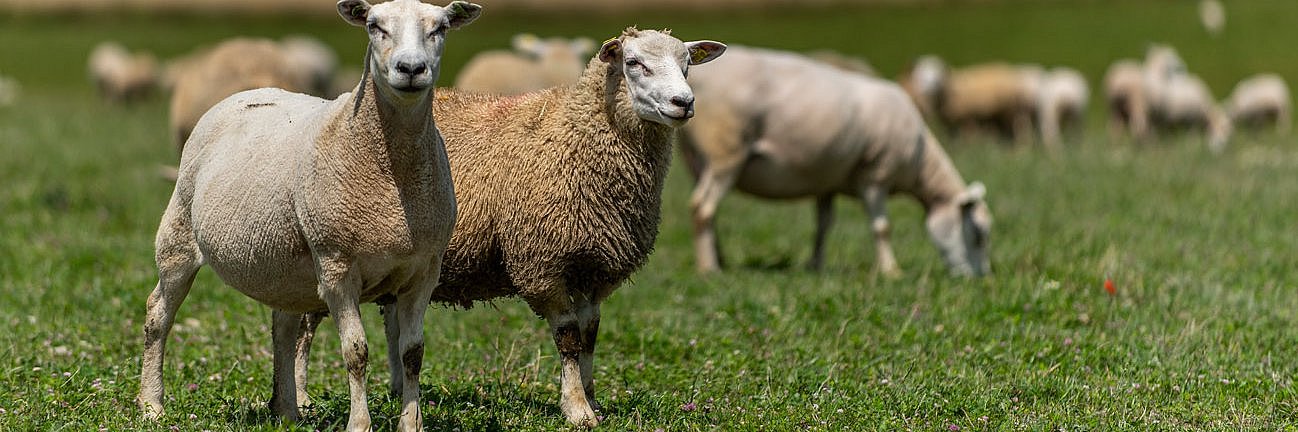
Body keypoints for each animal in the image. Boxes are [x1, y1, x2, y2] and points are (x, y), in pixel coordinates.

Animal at [674, 46, 986, 276]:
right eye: (979, 234)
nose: (979, 278)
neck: (919, 163)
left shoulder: (827, 183)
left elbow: (824, 226)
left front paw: (816, 265)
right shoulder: (876, 175)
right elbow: (882, 228)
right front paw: (890, 271)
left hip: (696, 159)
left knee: (707, 211)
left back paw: (720, 258)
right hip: (727, 153)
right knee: (703, 207)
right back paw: (710, 268)